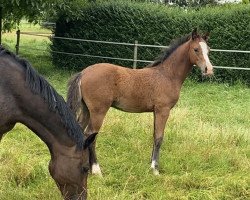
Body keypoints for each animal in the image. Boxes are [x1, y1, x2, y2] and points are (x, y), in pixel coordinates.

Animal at [66, 28, 213, 175]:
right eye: (196, 49)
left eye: (208, 50)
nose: (209, 70)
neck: (167, 75)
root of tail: (83, 73)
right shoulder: (163, 110)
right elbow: (159, 138)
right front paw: (155, 170)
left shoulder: (156, 111)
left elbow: (154, 136)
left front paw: (151, 165)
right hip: (98, 111)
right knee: (91, 135)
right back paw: (96, 170)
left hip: (86, 109)